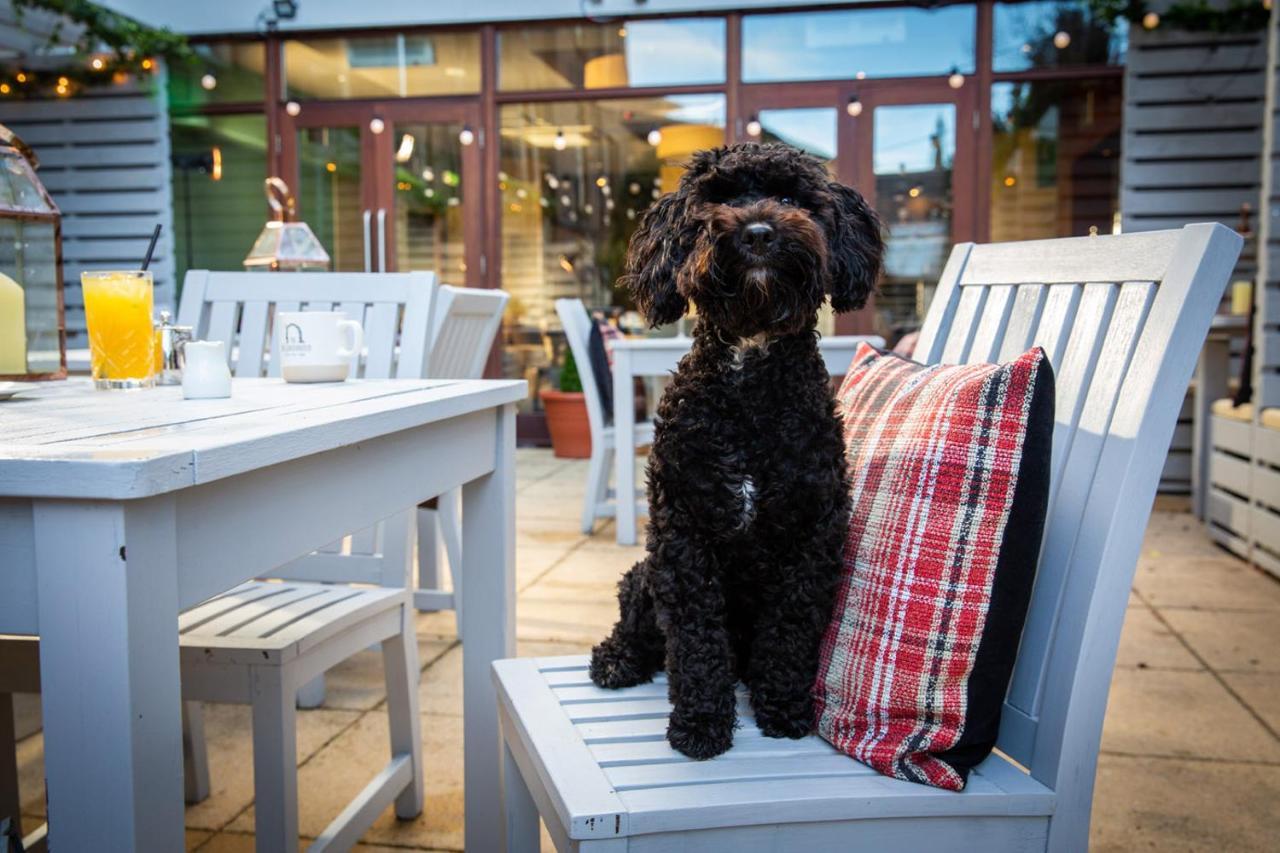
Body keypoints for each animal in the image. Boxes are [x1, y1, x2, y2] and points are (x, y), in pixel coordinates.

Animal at [586, 142, 880, 758]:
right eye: (716, 199)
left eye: (792, 197)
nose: (759, 233)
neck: (747, 384)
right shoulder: (682, 534)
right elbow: (696, 642)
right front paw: (700, 723)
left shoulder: (811, 535)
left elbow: (791, 632)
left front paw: (784, 709)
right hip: (645, 572)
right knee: (637, 622)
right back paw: (618, 660)